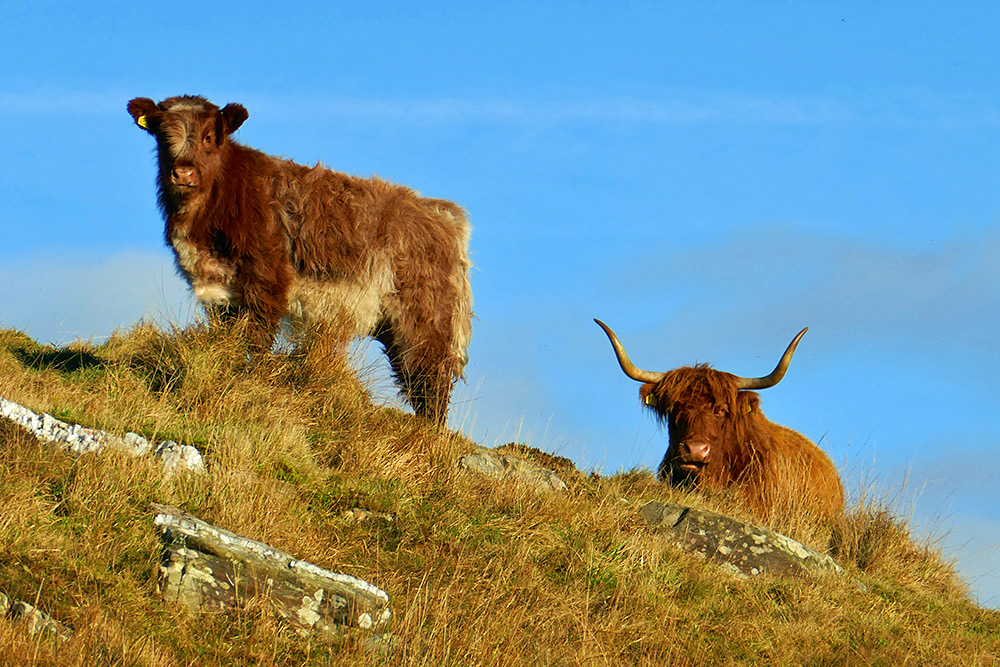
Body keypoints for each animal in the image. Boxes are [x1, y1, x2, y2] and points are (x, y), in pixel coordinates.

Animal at [127, 95, 473, 425]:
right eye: (163, 135)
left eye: (209, 136)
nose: (183, 172)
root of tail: (444, 214)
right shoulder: (220, 289)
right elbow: (230, 336)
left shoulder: (266, 277)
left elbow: (257, 337)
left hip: (424, 320)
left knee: (429, 381)